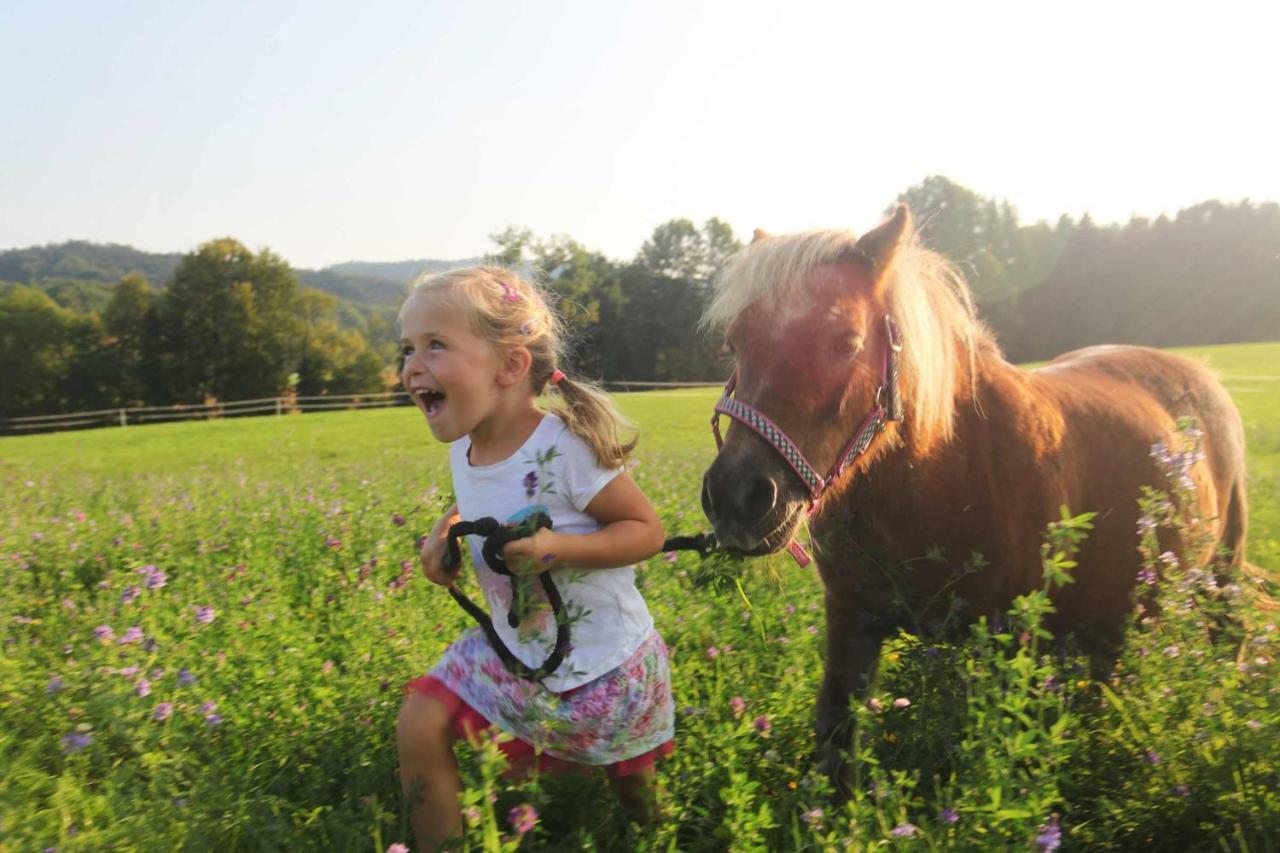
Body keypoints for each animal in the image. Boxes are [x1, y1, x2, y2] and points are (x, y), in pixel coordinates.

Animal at [696, 206, 1244, 783]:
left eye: (846, 340)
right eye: (734, 343)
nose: (737, 498)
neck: (939, 473)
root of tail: (1204, 376)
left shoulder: (1004, 645)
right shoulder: (850, 621)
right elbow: (836, 737)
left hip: (1219, 574)